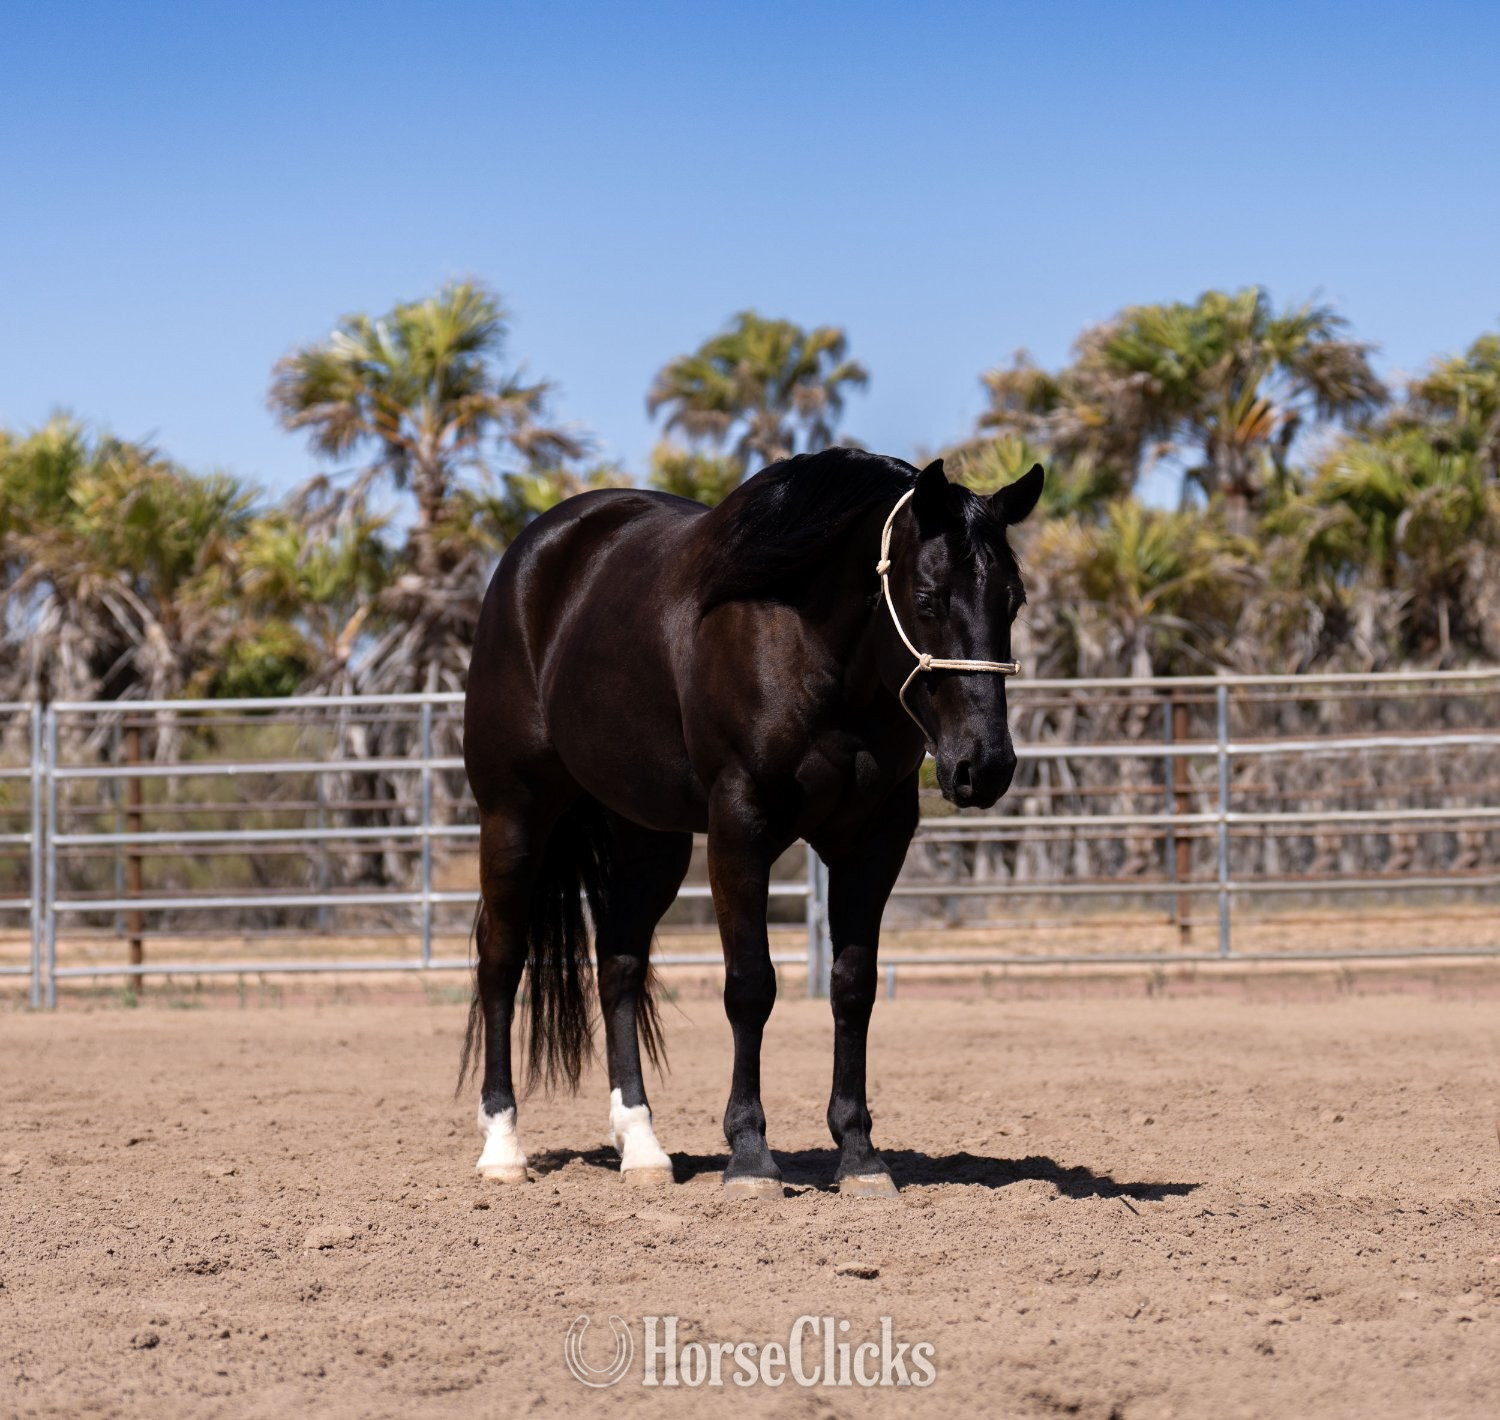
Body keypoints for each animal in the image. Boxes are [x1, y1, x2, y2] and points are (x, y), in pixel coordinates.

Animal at [459, 447, 1044, 1198]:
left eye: (1013, 601)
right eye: (926, 598)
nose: (985, 765)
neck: (811, 648)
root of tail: (536, 553)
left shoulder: (875, 839)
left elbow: (853, 988)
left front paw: (860, 1156)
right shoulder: (741, 825)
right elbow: (750, 986)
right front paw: (749, 1156)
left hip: (649, 837)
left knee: (618, 965)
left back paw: (643, 1148)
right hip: (515, 813)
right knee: (500, 960)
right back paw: (503, 1147)